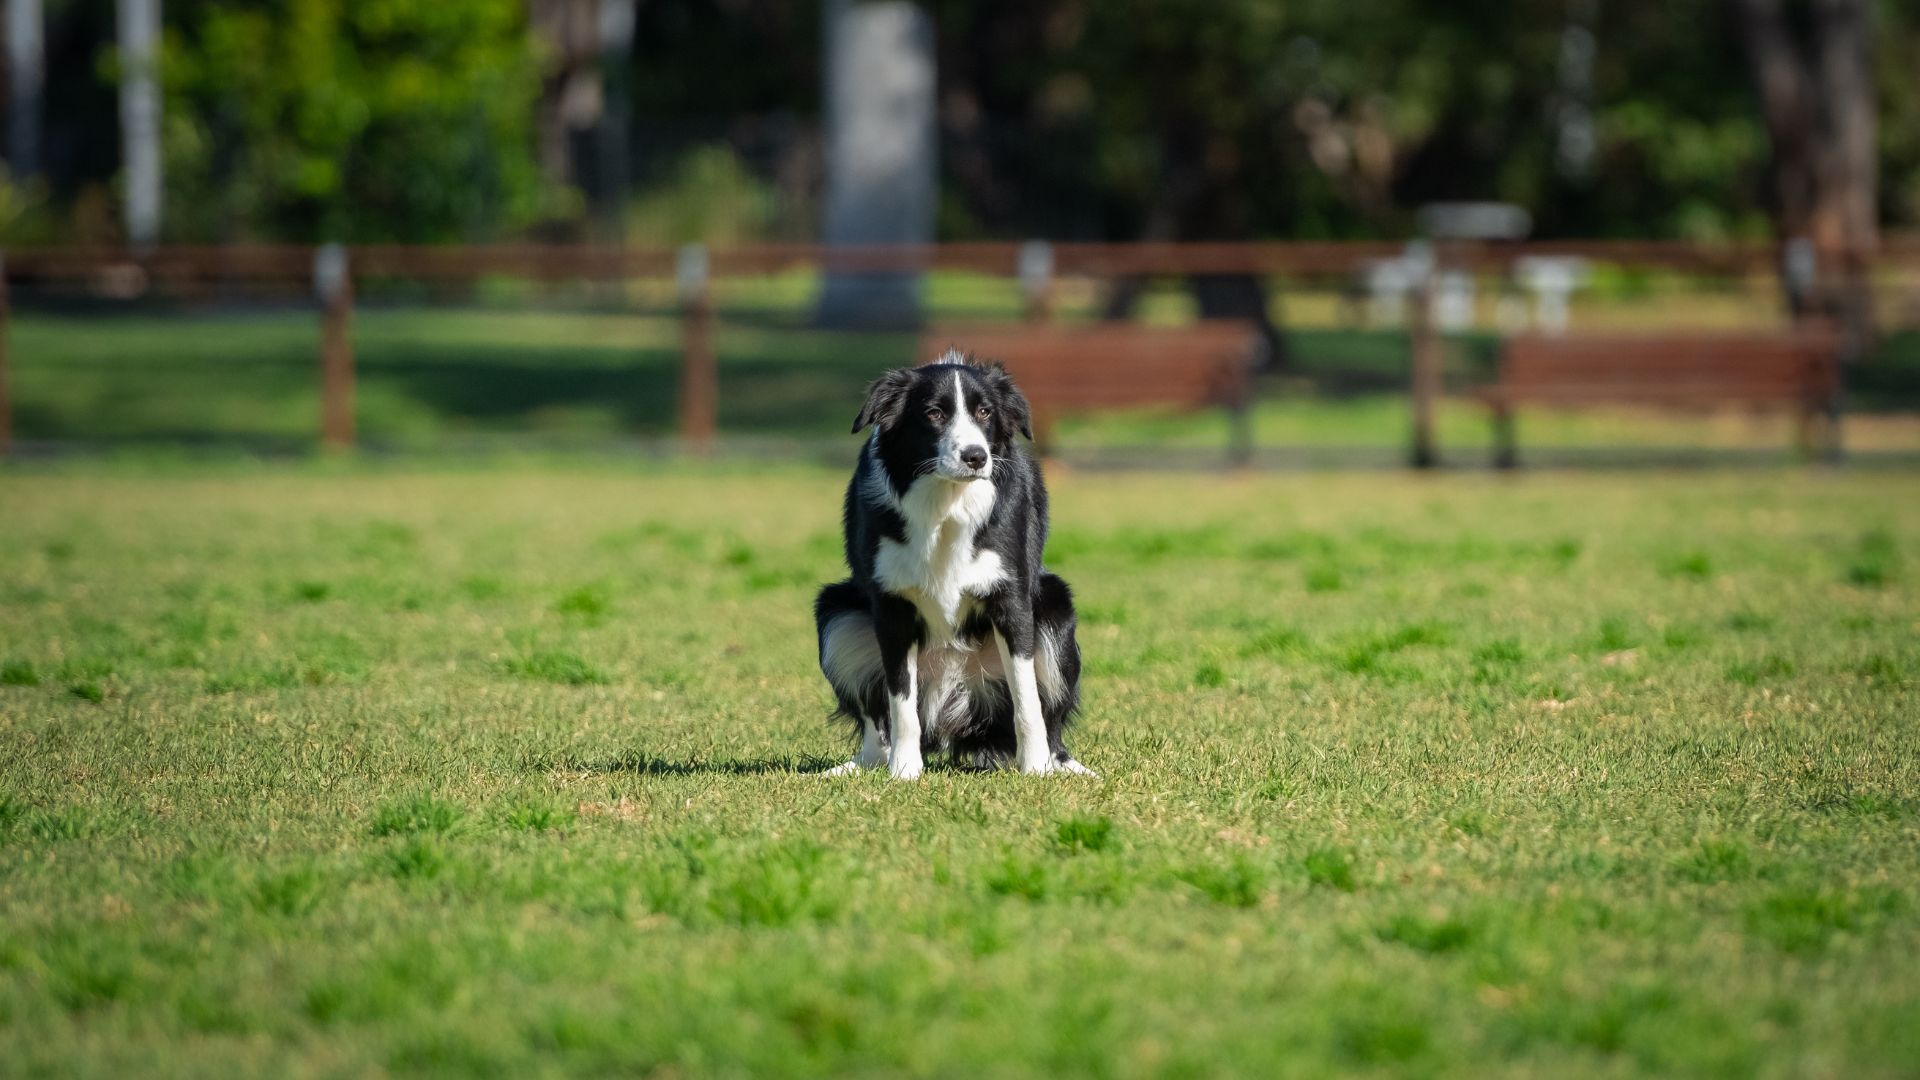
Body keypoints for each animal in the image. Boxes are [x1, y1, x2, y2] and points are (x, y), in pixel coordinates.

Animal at [810, 349, 1098, 776]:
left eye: (984, 412)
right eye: (933, 413)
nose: (976, 457)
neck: (946, 502)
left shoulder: (1011, 601)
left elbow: (1027, 698)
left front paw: (1035, 769)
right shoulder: (892, 606)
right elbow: (901, 703)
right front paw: (904, 772)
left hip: (1055, 611)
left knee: (1051, 718)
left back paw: (1060, 764)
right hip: (837, 612)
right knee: (876, 721)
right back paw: (866, 766)